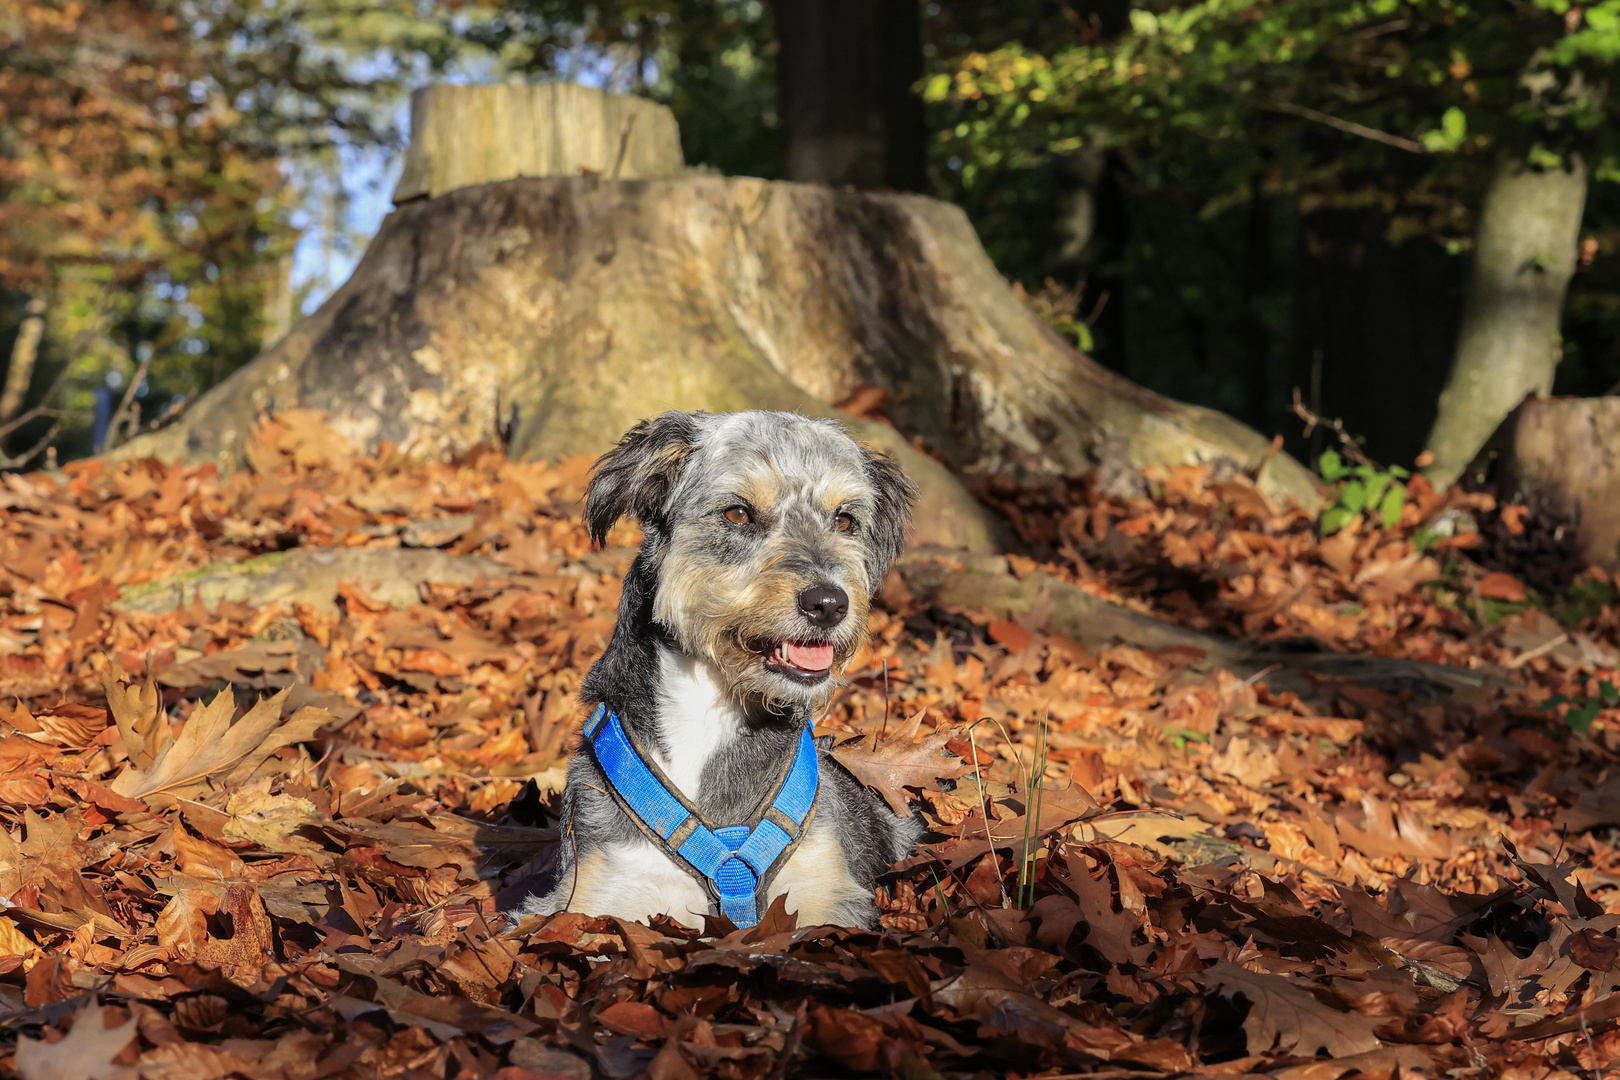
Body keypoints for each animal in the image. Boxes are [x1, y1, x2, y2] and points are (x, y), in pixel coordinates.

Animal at [515, 409, 926, 932]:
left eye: (845, 519)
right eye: (737, 514)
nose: (829, 603)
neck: (713, 712)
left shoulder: (825, 889)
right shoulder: (603, 889)